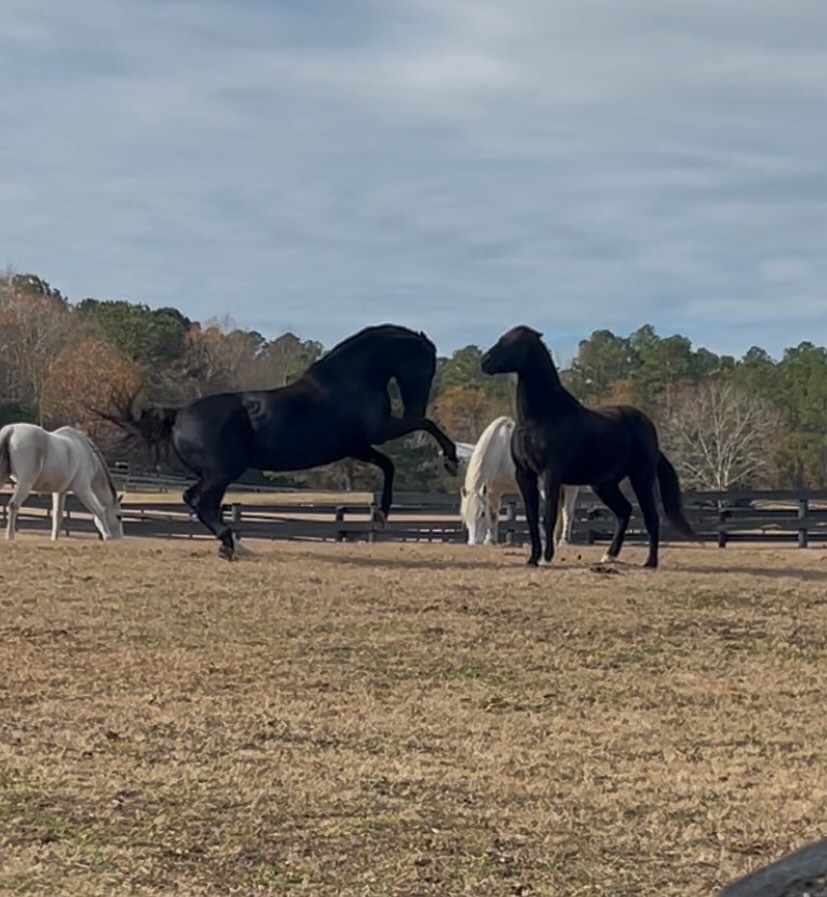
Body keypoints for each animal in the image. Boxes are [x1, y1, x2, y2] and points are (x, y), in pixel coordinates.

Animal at [99, 323, 459, 560]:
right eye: (425, 365)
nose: (416, 403)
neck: (349, 380)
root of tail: (178, 414)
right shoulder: (379, 431)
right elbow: (423, 428)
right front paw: (452, 461)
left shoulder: (358, 446)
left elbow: (388, 464)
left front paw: (382, 513)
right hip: (223, 472)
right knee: (201, 502)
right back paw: (230, 545)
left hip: (217, 474)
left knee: (197, 501)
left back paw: (231, 545)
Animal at [459, 415, 579, 545]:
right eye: (465, 515)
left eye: (482, 513)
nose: (473, 542)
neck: (502, 451)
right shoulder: (493, 491)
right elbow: (493, 514)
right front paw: (490, 540)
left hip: (569, 487)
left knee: (567, 511)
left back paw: (564, 540)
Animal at [480, 325, 695, 568]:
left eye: (514, 342)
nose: (484, 361)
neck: (540, 416)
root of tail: (647, 425)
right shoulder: (524, 474)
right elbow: (532, 517)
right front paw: (533, 559)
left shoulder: (551, 474)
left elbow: (549, 516)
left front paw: (546, 558)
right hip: (604, 484)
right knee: (624, 511)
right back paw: (609, 556)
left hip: (641, 477)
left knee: (651, 516)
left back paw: (650, 562)